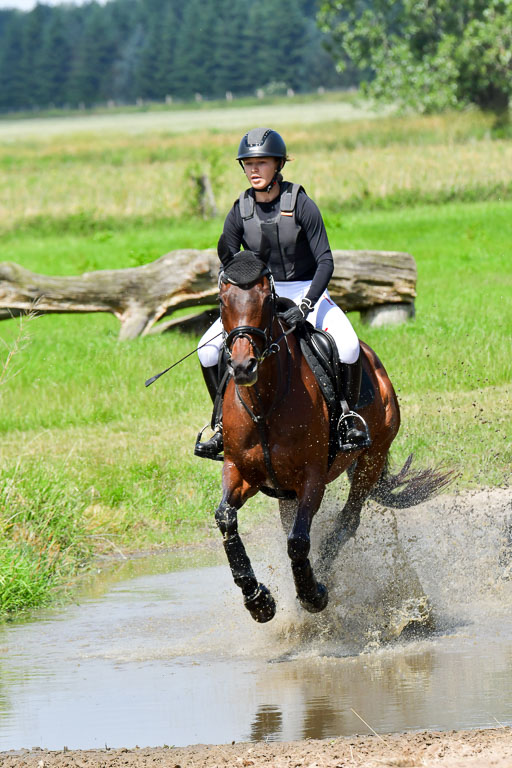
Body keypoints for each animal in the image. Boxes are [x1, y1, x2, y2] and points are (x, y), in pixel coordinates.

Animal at [213, 239, 452, 624]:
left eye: (266, 301)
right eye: (222, 301)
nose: (243, 366)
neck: (266, 405)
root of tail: (375, 363)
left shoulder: (311, 478)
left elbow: (299, 541)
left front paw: (312, 594)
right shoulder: (240, 471)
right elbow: (226, 519)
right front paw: (257, 599)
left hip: (371, 458)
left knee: (346, 522)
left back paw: (325, 577)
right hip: (287, 491)